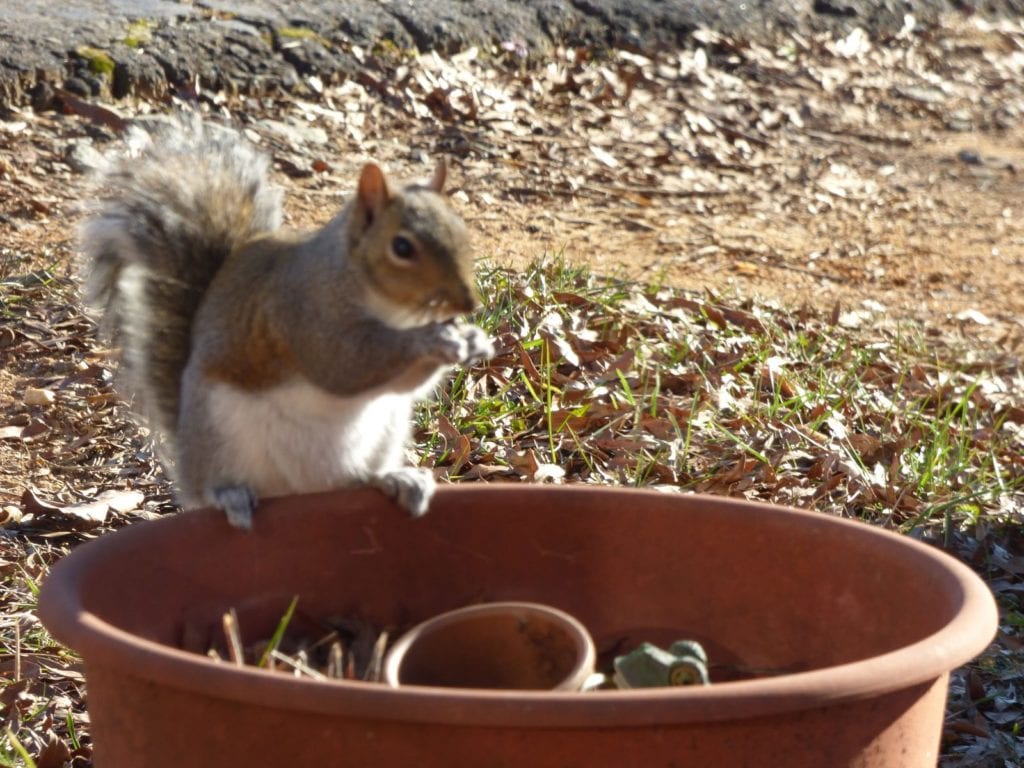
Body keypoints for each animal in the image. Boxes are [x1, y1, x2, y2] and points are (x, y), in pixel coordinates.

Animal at [83, 117, 491, 532]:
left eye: (461, 229)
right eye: (402, 247)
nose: (469, 303)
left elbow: (406, 383)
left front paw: (473, 340)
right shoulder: (302, 314)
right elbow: (347, 367)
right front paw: (433, 340)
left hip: (384, 431)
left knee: (352, 479)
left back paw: (394, 479)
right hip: (220, 434)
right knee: (212, 488)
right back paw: (230, 496)